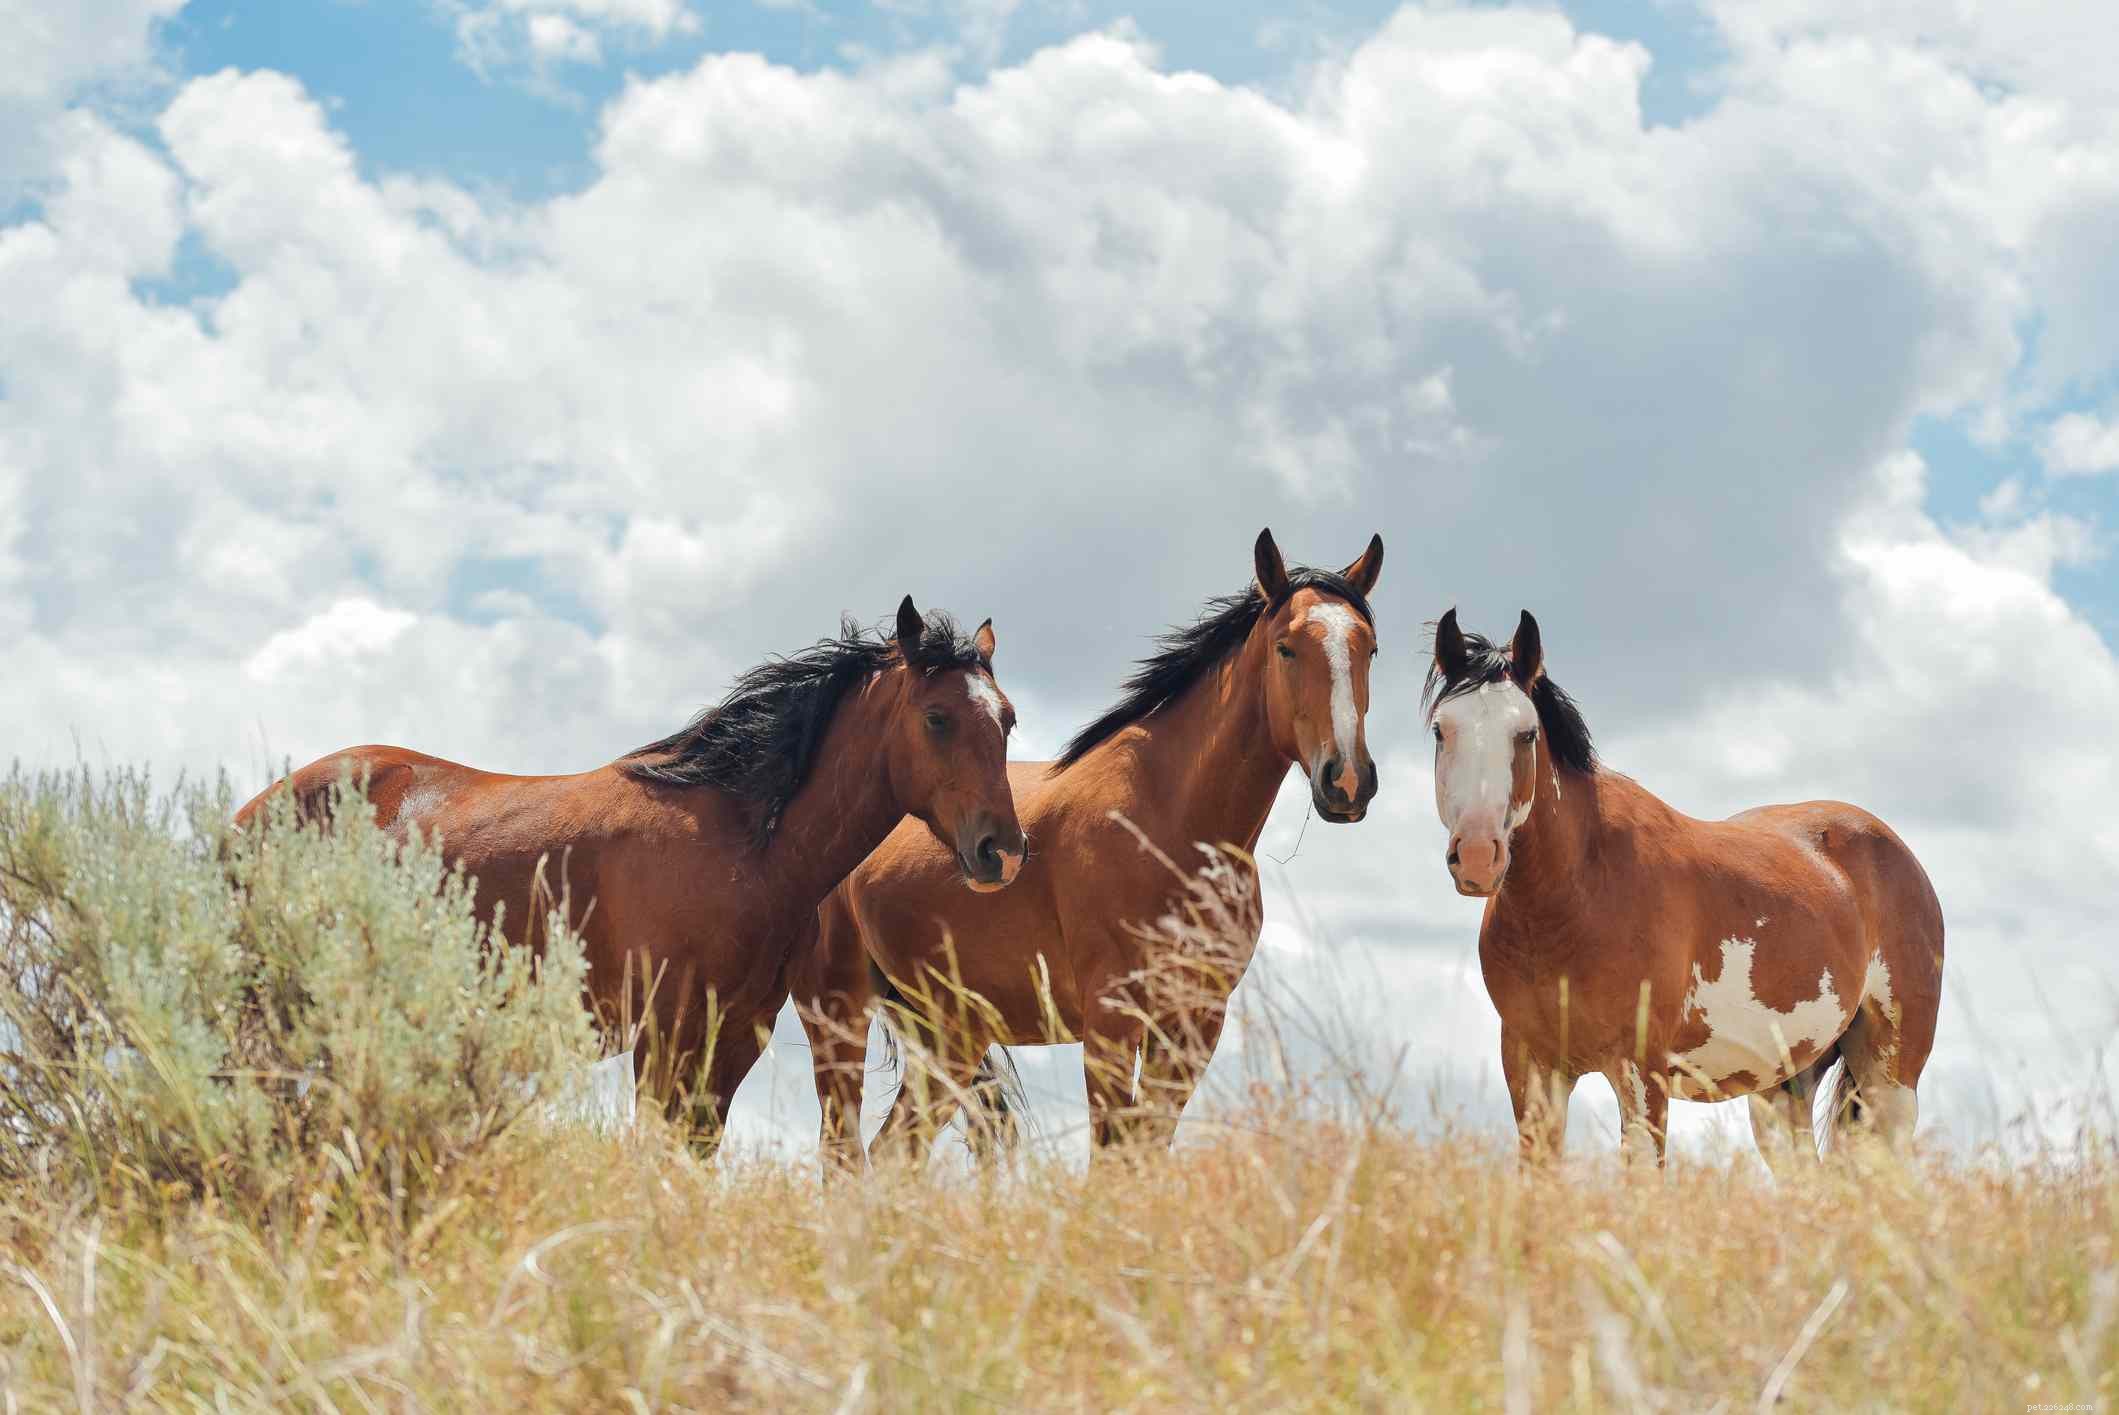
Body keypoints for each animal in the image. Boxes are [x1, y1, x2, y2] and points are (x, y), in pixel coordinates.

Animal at [233, 597, 1026, 1147]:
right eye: (936, 718)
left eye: (1008, 719)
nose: (1002, 850)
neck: (738, 842)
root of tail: (249, 813)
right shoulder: (663, 1039)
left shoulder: (730, 1041)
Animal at [789, 529, 1384, 1167]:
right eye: (1286, 648)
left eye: (1369, 648)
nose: (1347, 779)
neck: (1165, 822)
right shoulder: (1111, 1019)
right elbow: (1111, 1157)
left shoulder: (1194, 1022)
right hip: (839, 1018)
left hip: (948, 1036)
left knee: (894, 1150)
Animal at [1423, 608, 1944, 1167]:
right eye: (1441, 730)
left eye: (1524, 734)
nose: (1478, 856)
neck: (1578, 894)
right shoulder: (1532, 1067)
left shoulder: (1640, 1072)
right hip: (1783, 1090)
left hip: (1889, 1081)